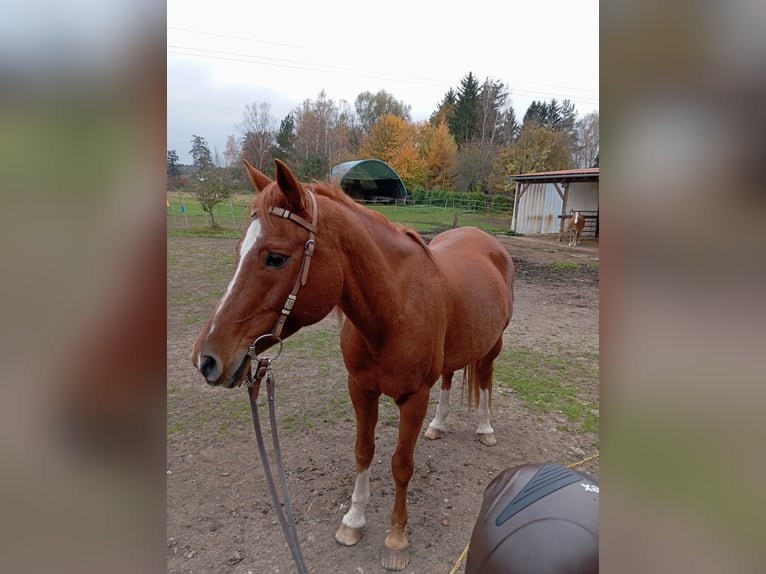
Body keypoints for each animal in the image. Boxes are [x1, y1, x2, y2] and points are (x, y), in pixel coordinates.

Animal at [192, 160, 516, 572]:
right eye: (238, 251)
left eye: (276, 257)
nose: (206, 359)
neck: (394, 310)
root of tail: (486, 240)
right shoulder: (361, 389)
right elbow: (364, 450)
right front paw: (354, 519)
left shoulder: (414, 398)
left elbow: (401, 464)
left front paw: (396, 538)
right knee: (448, 377)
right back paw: (439, 425)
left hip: (494, 345)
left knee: (486, 379)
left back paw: (485, 428)